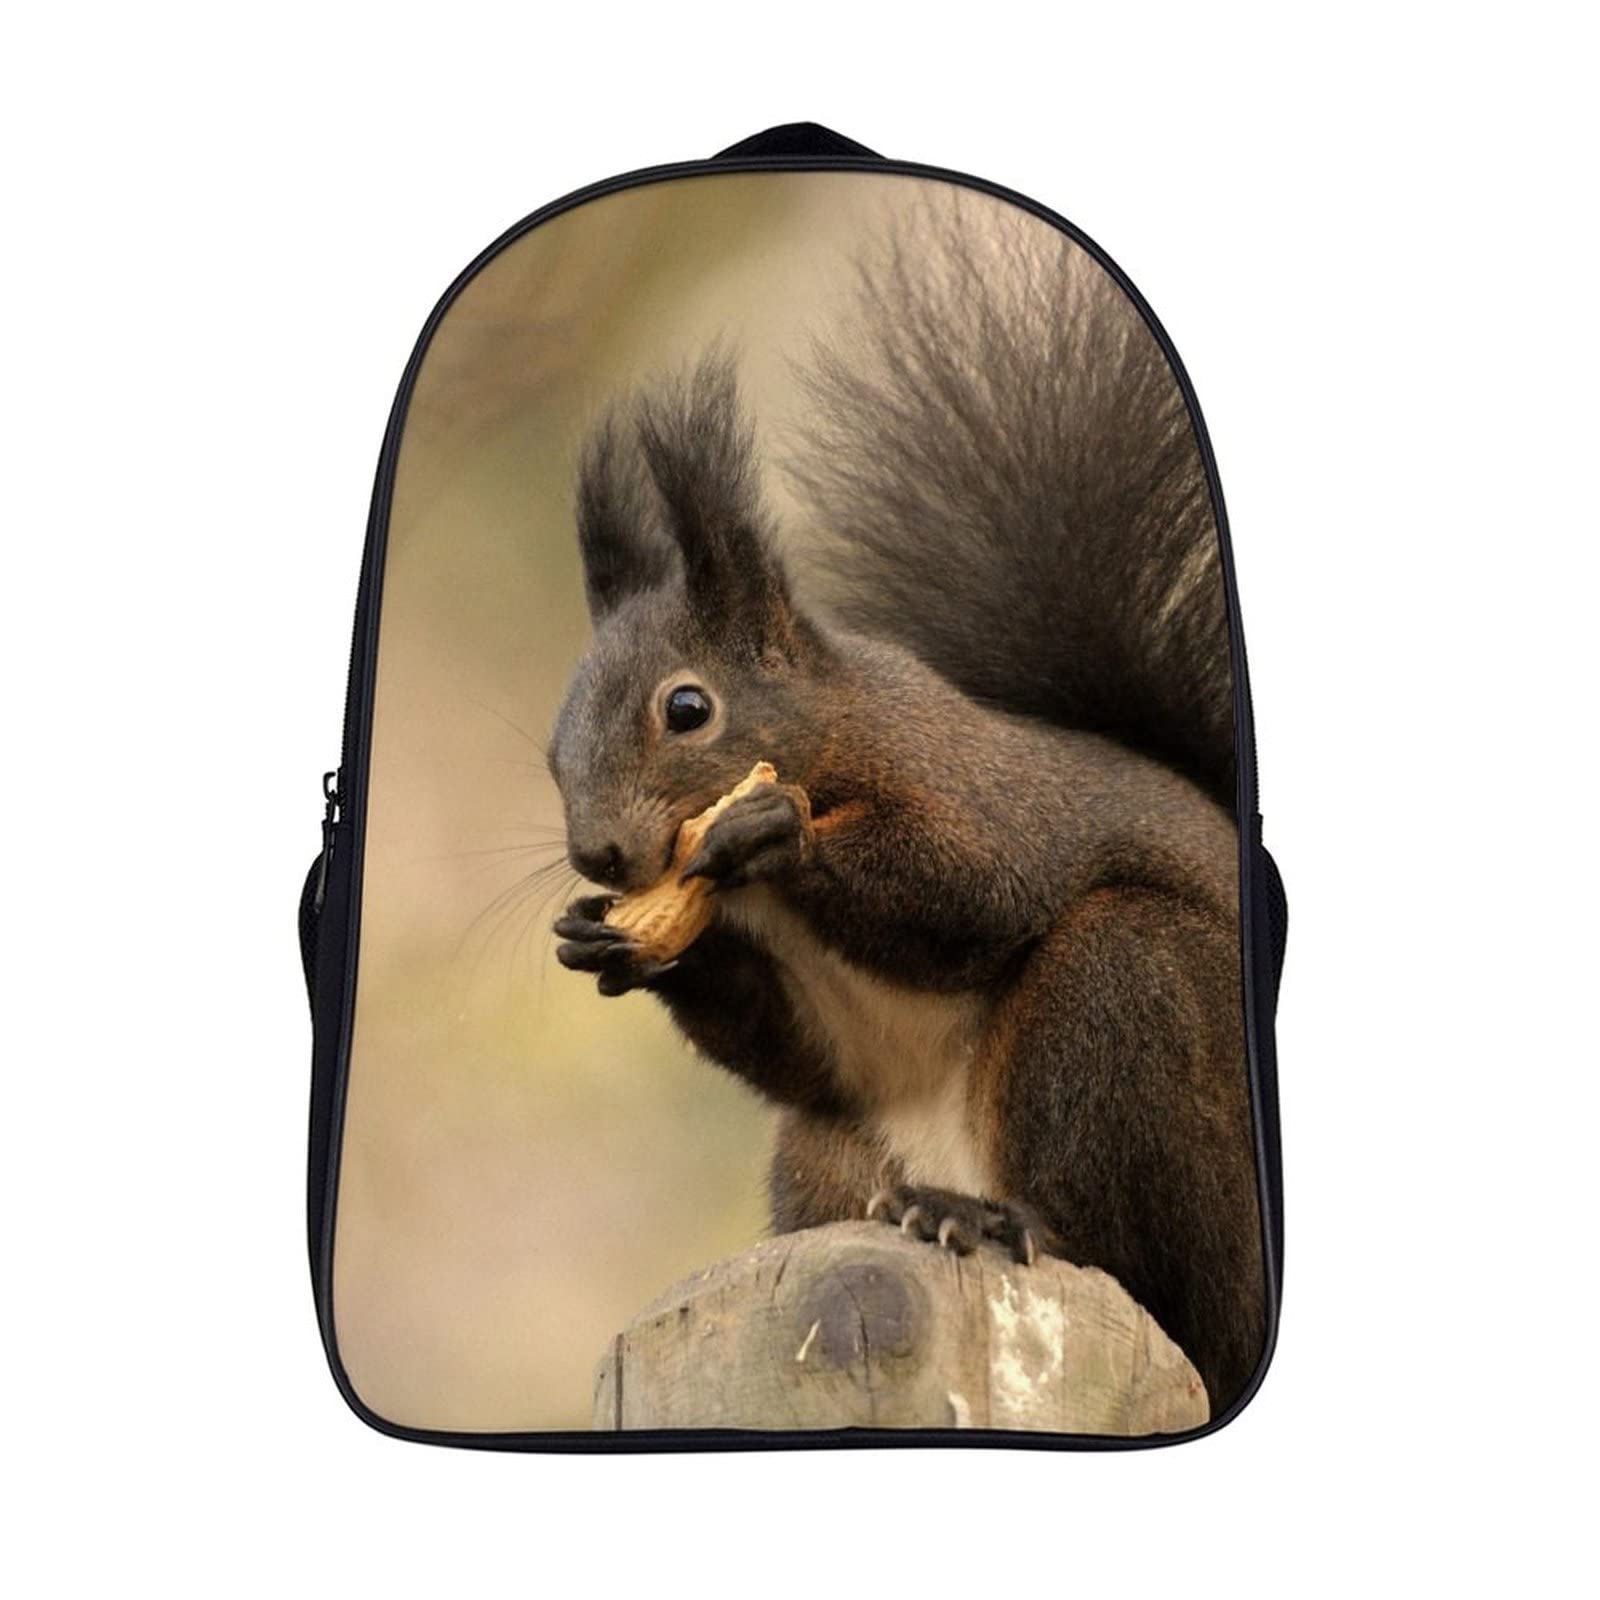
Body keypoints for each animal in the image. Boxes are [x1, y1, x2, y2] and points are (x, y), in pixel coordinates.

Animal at [547, 207, 1264, 1415]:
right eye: (551, 744)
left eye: (687, 708)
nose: (598, 851)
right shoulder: (810, 1036)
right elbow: (793, 1055)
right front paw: (607, 939)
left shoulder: (970, 789)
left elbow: (974, 891)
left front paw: (772, 835)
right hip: (826, 1157)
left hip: (1136, 993)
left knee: (1125, 1253)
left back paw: (992, 1218)